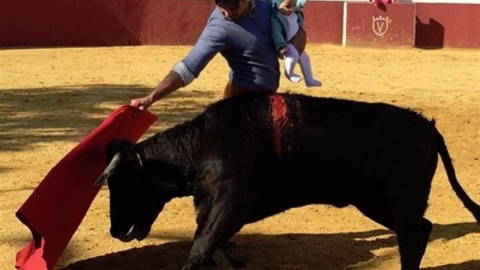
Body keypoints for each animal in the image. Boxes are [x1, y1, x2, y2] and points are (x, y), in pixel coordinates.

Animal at [94, 93, 480, 270]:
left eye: (123, 183)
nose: (115, 231)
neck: (206, 143)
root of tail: (424, 124)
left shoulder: (231, 202)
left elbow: (201, 246)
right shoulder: (211, 205)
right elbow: (211, 244)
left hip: (400, 198)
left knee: (411, 236)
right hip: (373, 201)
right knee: (421, 229)